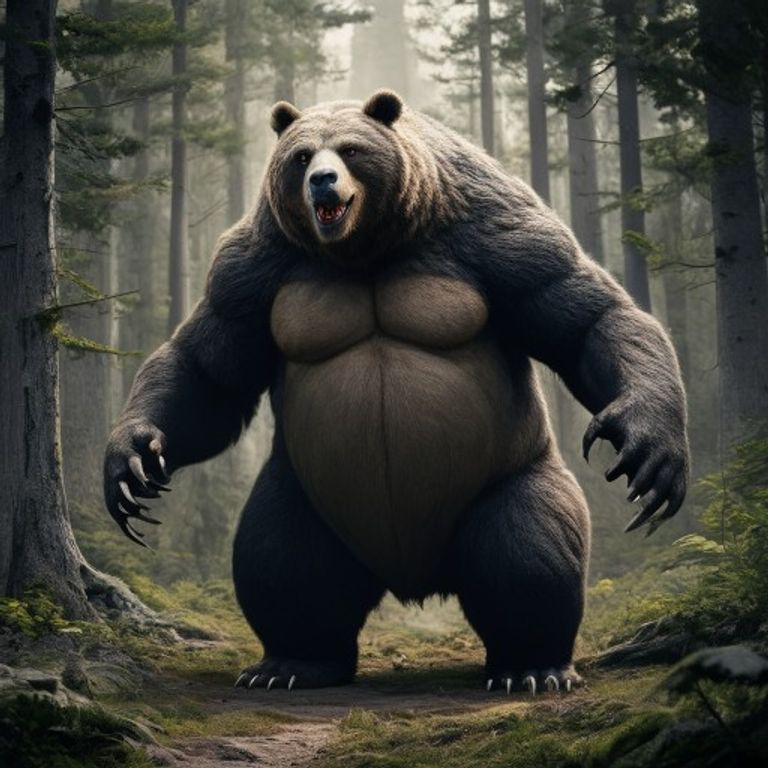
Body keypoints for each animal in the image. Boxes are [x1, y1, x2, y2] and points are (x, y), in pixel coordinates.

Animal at [104, 90, 689, 693]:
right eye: (301, 156)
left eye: (350, 149)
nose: (322, 182)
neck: (367, 247)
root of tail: (410, 576)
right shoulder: (257, 269)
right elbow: (209, 368)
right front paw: (133, 465)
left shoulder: (494, 236)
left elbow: (584, 315)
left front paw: (648, 454)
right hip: (309, 488)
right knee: (283, 557)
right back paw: (290, 663)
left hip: (505, 472)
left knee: (528, 549)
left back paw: (532, 666)